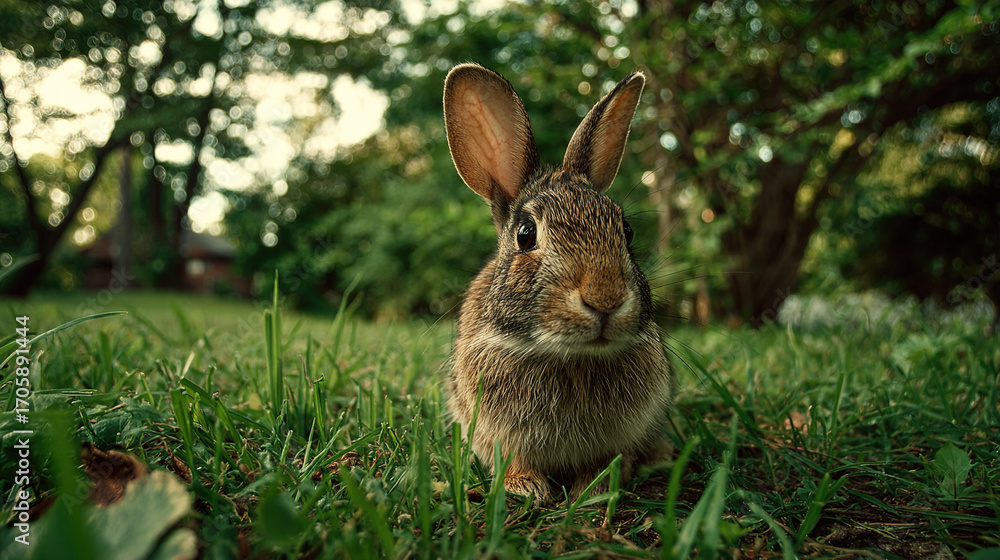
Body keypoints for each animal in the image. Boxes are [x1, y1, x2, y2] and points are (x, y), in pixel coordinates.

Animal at [443, 62, 674, 501]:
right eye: (525, 234)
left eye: (626, 231)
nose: (605, 299)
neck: (568, 354)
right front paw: (525, 486)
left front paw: (594, 488)